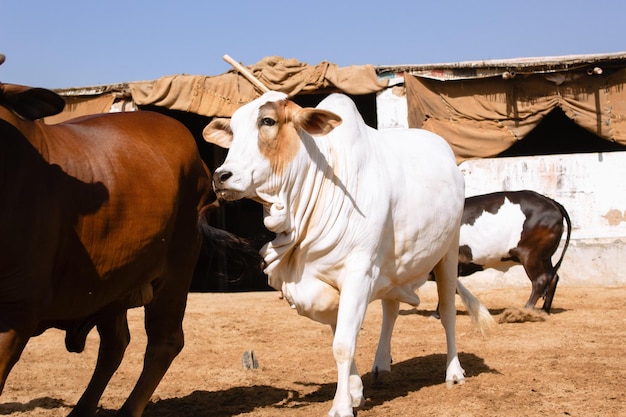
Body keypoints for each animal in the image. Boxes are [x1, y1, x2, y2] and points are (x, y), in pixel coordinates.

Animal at [202, 92, 490, 416]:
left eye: (268, 120)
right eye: (233, 130)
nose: (222, 176)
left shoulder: (358, 273)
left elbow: (342, 344)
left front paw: (341, 405)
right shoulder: (321, 282)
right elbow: (341, 330)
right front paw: (354, 391)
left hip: (448, 251)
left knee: (448, 312)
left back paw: (453, 372)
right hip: (394, 268)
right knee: (392, 309)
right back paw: (381, 365)